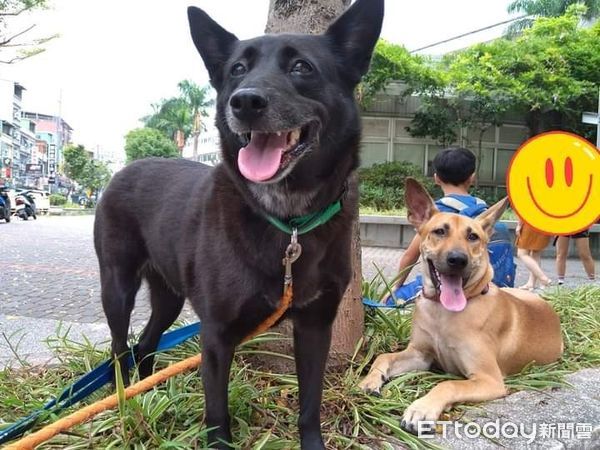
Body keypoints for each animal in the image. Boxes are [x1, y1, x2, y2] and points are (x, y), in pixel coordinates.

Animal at [94, 1, 384, 448]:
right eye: (237, 70)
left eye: (302, 67)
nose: (244, 101)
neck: (288, 221)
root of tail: (123, 170)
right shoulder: (216, 336)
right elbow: (218, 415)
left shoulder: (316, 328)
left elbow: (310, 406)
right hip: (117, 286)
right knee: (119, 348)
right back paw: (126, 403)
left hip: (169, 296)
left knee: (145, 344)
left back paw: (152, 400)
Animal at [360, 178, 564, 434]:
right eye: (439, 231)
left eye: (473, 237)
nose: (457, 260)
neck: (442, 312)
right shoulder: (420, 355)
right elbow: (383, 356)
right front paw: (370, 380)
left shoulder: (489, 379)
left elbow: (449, 384)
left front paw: (421, 409)